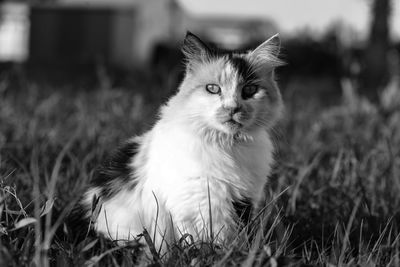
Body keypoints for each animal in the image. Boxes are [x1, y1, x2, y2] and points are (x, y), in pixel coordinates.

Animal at [78, 32, 284, 254]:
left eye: (250, 90)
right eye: (213, 89)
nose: (232, 108)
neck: (226, 146)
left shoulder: (243, 200)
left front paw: (234, 254)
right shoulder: (188, 204)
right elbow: (193, 243)